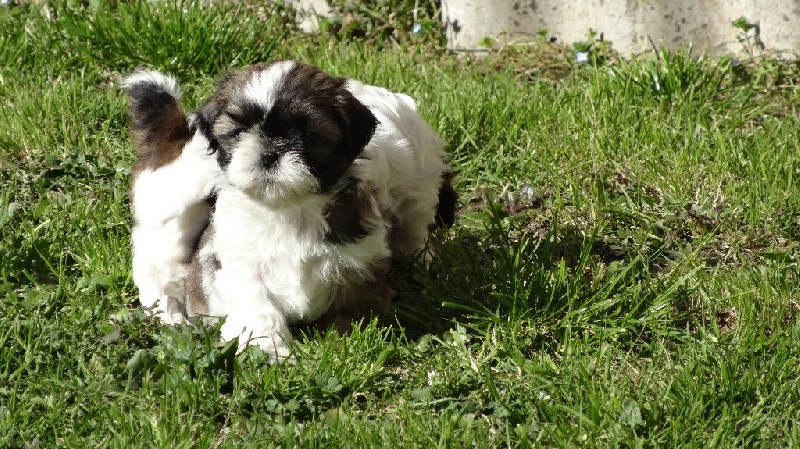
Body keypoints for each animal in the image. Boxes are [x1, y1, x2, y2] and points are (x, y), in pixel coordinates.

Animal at [124, 61, 456, 360]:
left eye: (309, 135)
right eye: (240, 131)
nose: (270, 153)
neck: (291, 210)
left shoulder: (364, 255)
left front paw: (347, 340)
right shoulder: (239, 259)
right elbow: (256, 305)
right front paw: (267, 352)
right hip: (174, 207)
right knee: (158, 265)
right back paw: (171, 316)